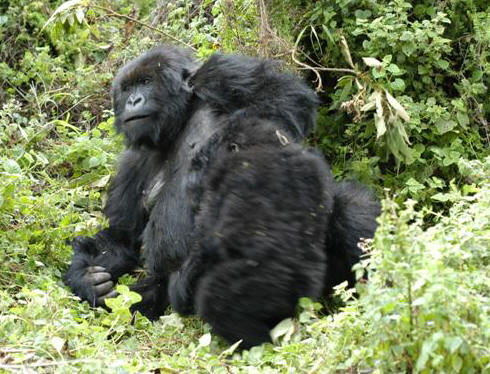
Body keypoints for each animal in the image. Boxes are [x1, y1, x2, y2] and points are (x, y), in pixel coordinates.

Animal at [64, 44, 378, 348]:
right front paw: (86, 279)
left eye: (146, 82)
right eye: (127, 89)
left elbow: (283, 98)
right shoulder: (131, 164)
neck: (177, 123)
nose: (133, 101)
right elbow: (121, 238)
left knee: (348, 207)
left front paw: (219, 152)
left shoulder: (219, 74)